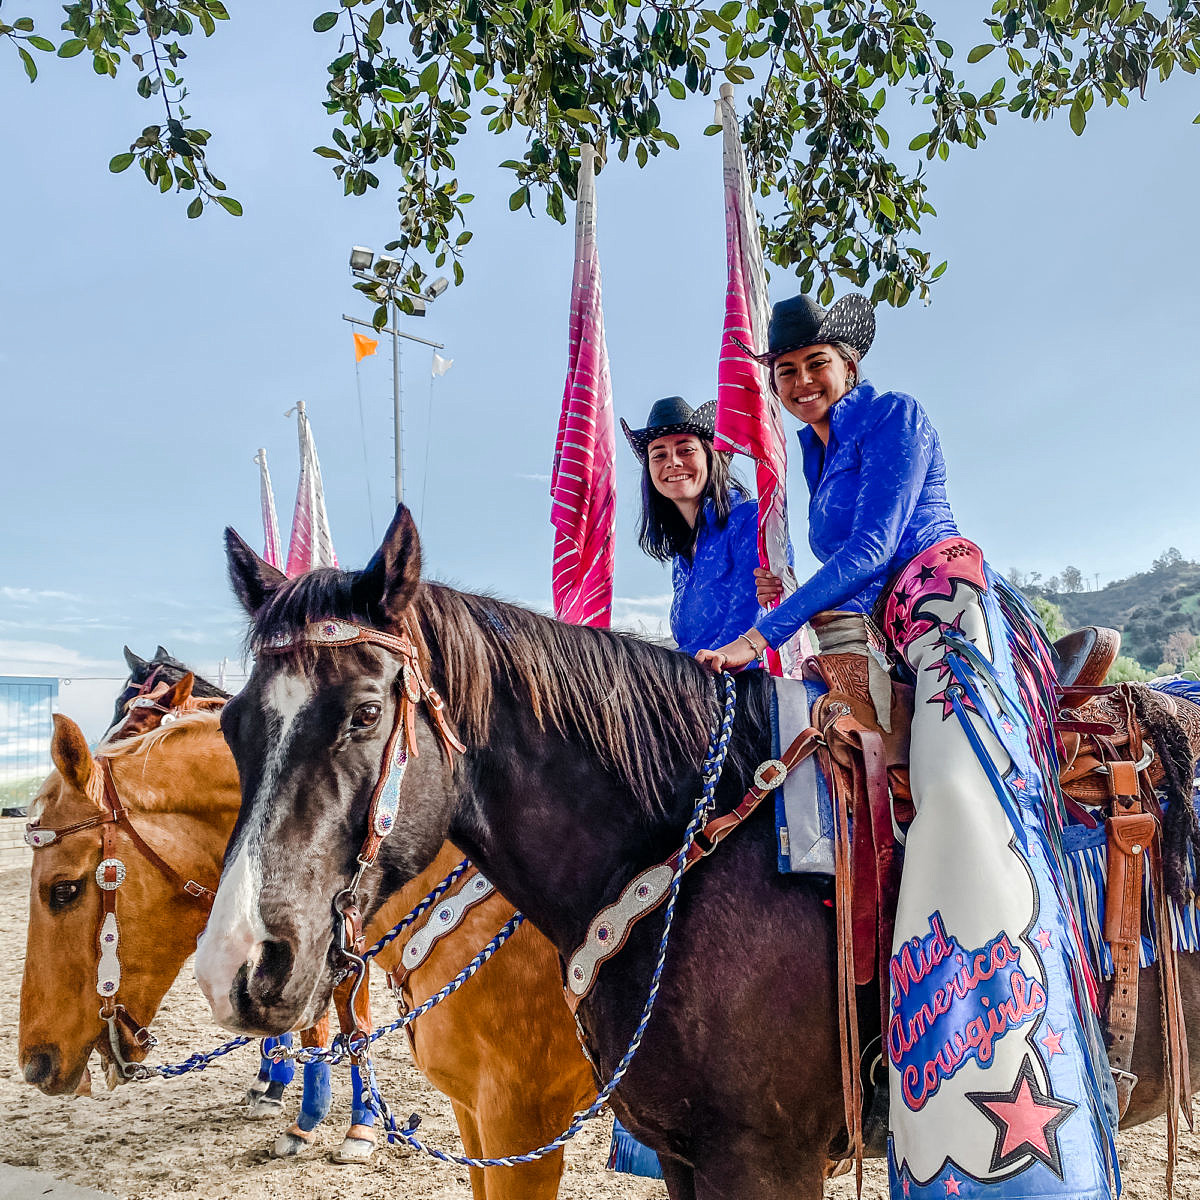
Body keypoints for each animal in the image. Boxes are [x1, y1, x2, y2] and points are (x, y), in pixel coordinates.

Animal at [16, 705, 597, 1195]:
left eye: (64, 890)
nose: (36, 1063)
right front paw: (303, 1118)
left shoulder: (516, 1124)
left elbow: (349, 1028)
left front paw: (349, 1129)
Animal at [196, 506, 1200, 1200]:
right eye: (233, 724)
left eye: (366, 713)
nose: (236, 966)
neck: (693, 847)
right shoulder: (675, 1153)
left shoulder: (756, 1161)